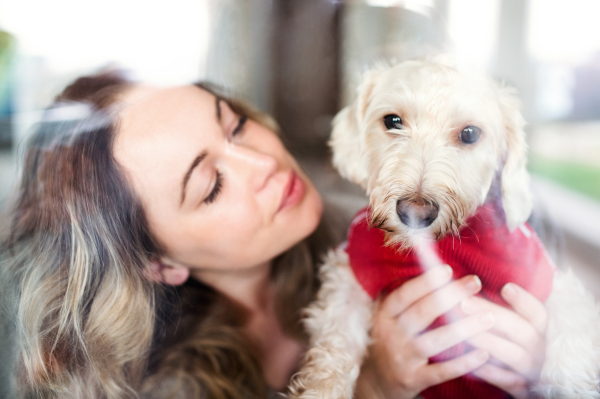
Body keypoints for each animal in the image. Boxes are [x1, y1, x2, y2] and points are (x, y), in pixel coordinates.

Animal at [288, 57, 600, 398]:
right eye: (392, 120)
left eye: (470, 133)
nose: (415, 212)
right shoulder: (350, 277)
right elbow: (335, 343)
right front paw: (321, 389)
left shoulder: (546, 280)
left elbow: (571, 342)